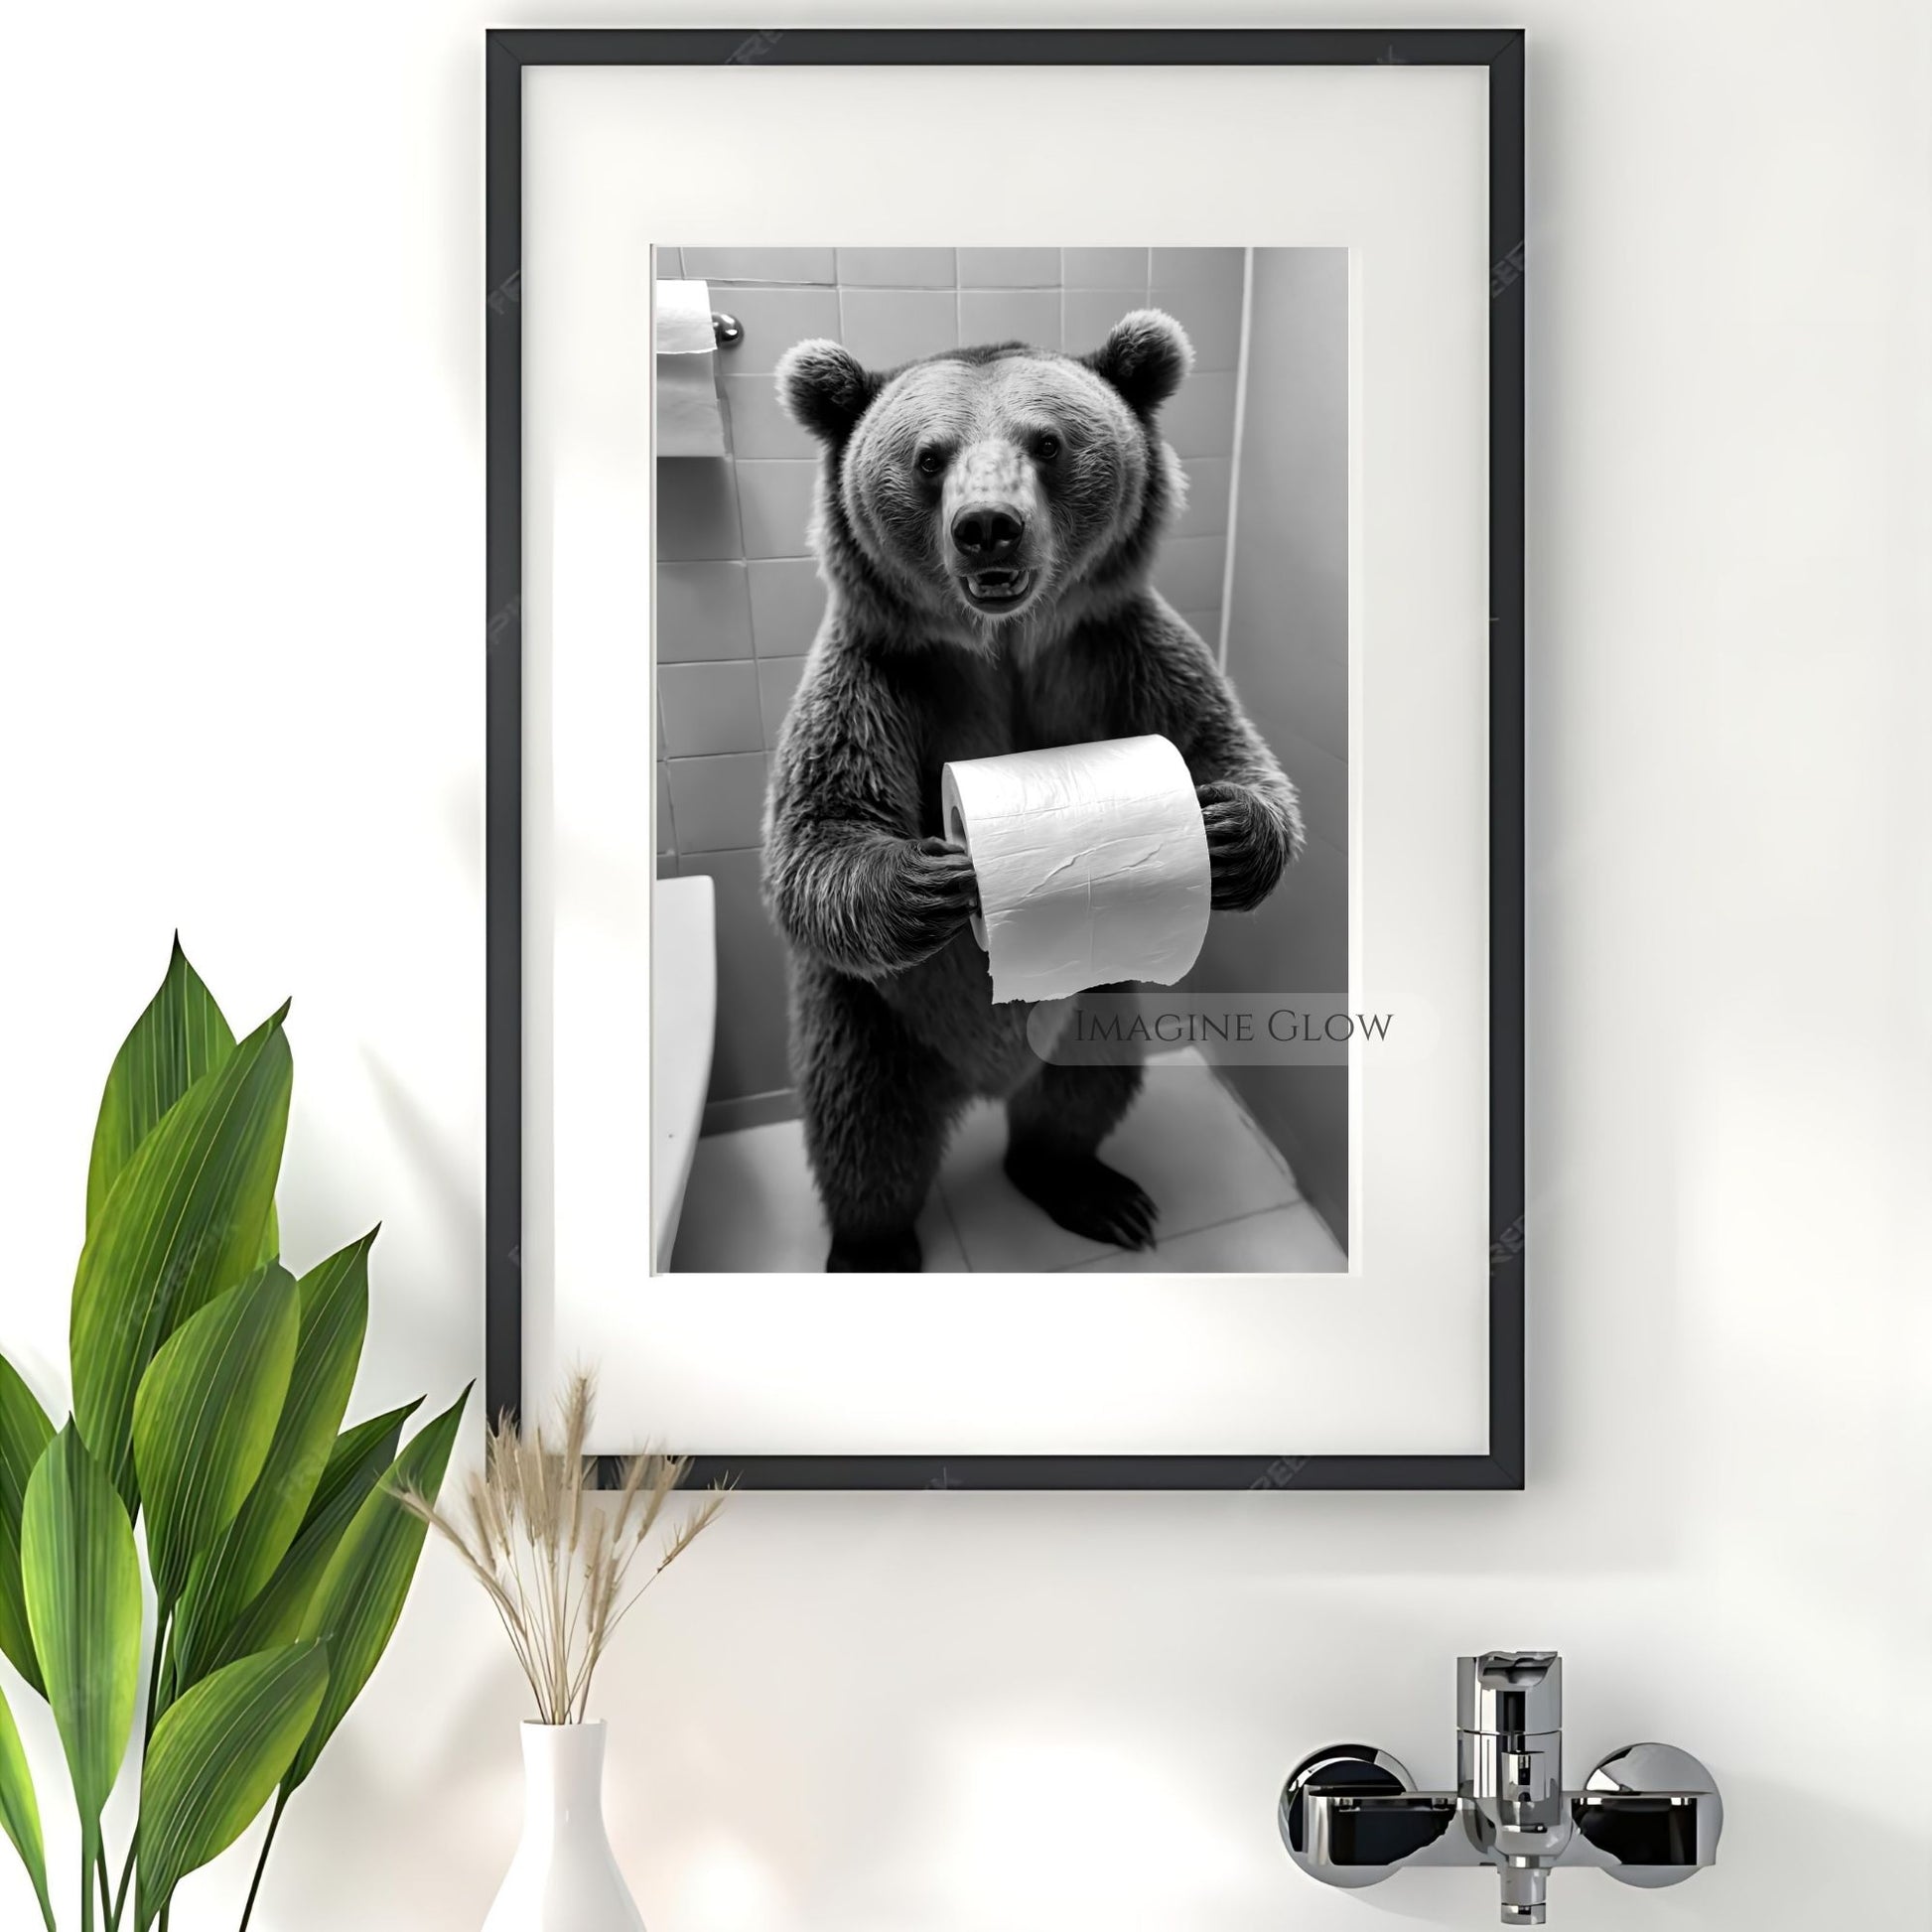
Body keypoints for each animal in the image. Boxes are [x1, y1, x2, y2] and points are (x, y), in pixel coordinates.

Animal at [761, 310, 1304, 1272]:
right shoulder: (882, 679)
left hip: (1095, 1003)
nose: (988, 527)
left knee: (1084, 1090)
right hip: (871, 1016)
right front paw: (929, 879)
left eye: (1046, 442)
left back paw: (1088, 1187)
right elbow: (821, 832)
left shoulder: (1121, 651)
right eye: (928, 456)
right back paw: (873, 1246)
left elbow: (1228, 747)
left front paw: (1237, 832)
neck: (1006, 643)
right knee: (862, 1127)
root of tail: (977, 1083)